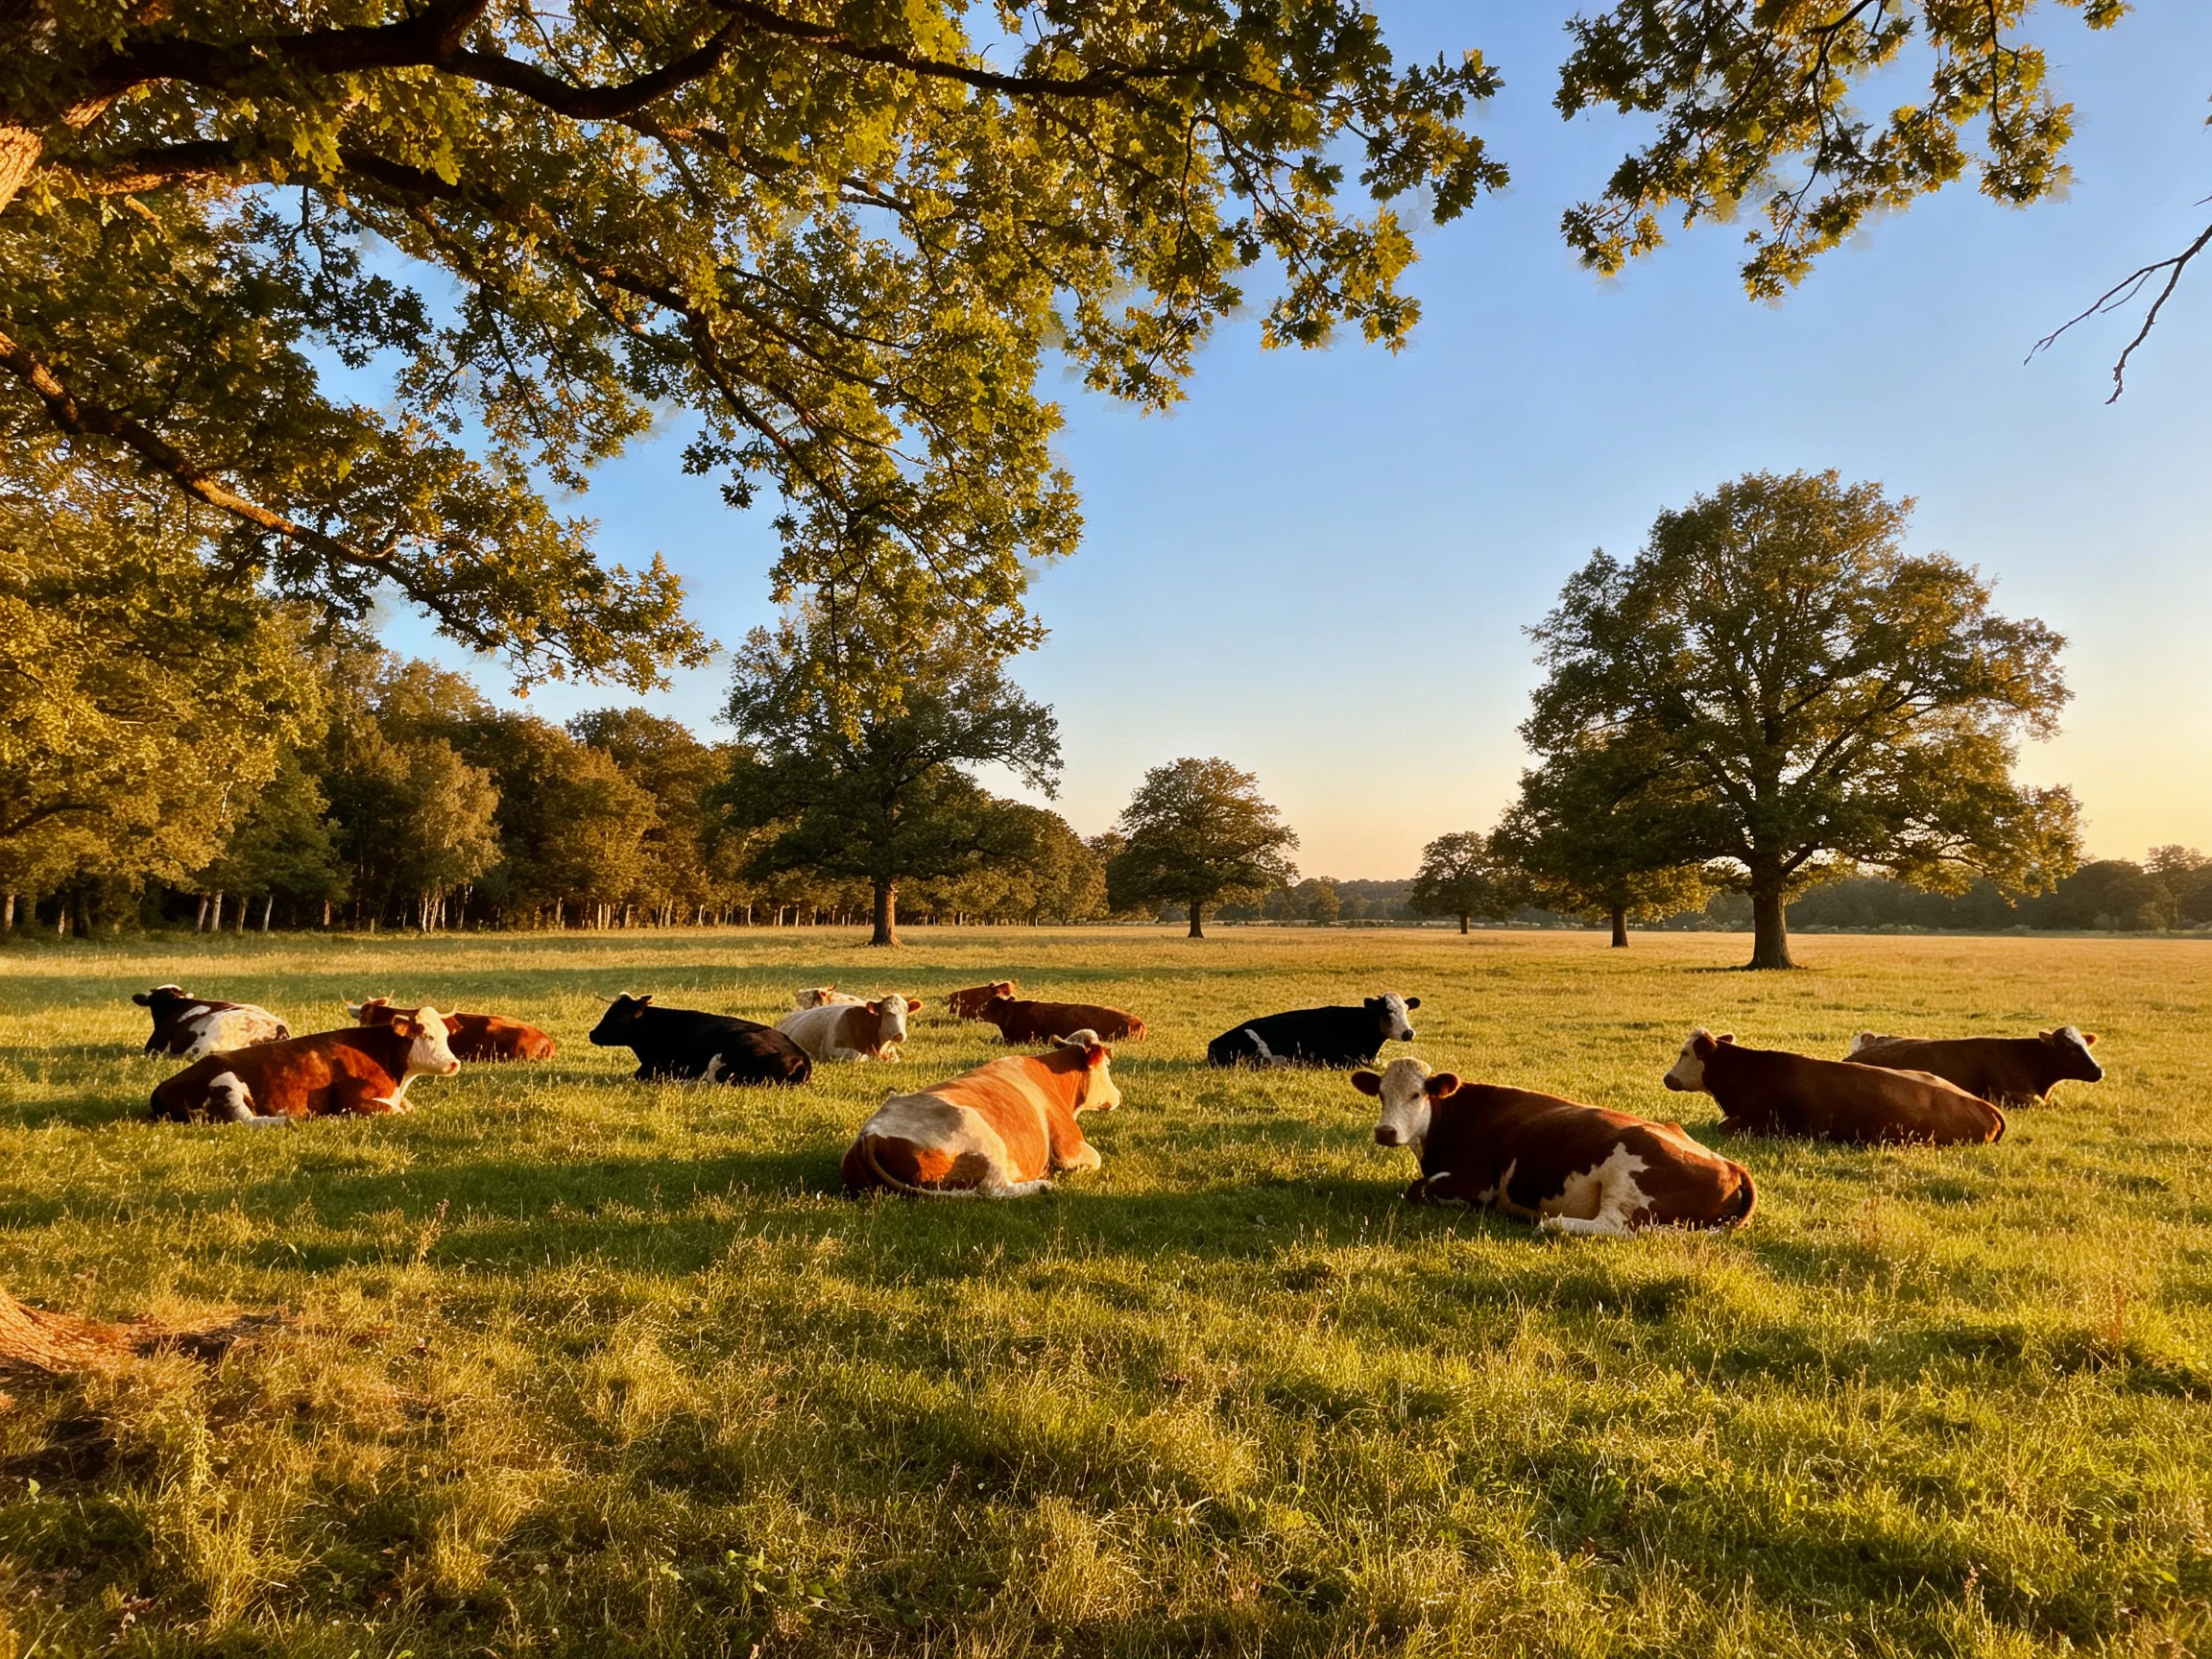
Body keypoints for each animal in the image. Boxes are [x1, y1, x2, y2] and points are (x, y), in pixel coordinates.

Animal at [150, 1011, 462, 1126]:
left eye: (446, 1035)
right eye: (427, 1035)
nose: (454, 1063)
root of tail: (163, 1087)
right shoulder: (354, 1103)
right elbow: (399, 1112)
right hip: (227, 1082)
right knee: (245, 1119)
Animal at [841, 1031, 1120, 1198]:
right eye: (1107, 1065)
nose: (1119, 1095)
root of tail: (870, 1135)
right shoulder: (1068, 1145)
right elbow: (1095, 1159)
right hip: (980, 1134)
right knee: (993, 1189)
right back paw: (1042, 1185)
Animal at [1353, 1058, 1756, 1236]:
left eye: (1416, 1094)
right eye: (1381, 1094)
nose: (1385, 1131)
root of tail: (1732, 1166)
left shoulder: (1475, 1186)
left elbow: (1417, 1188)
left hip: (1628, 1174)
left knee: (1615, 1227)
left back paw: (1552, 1224)